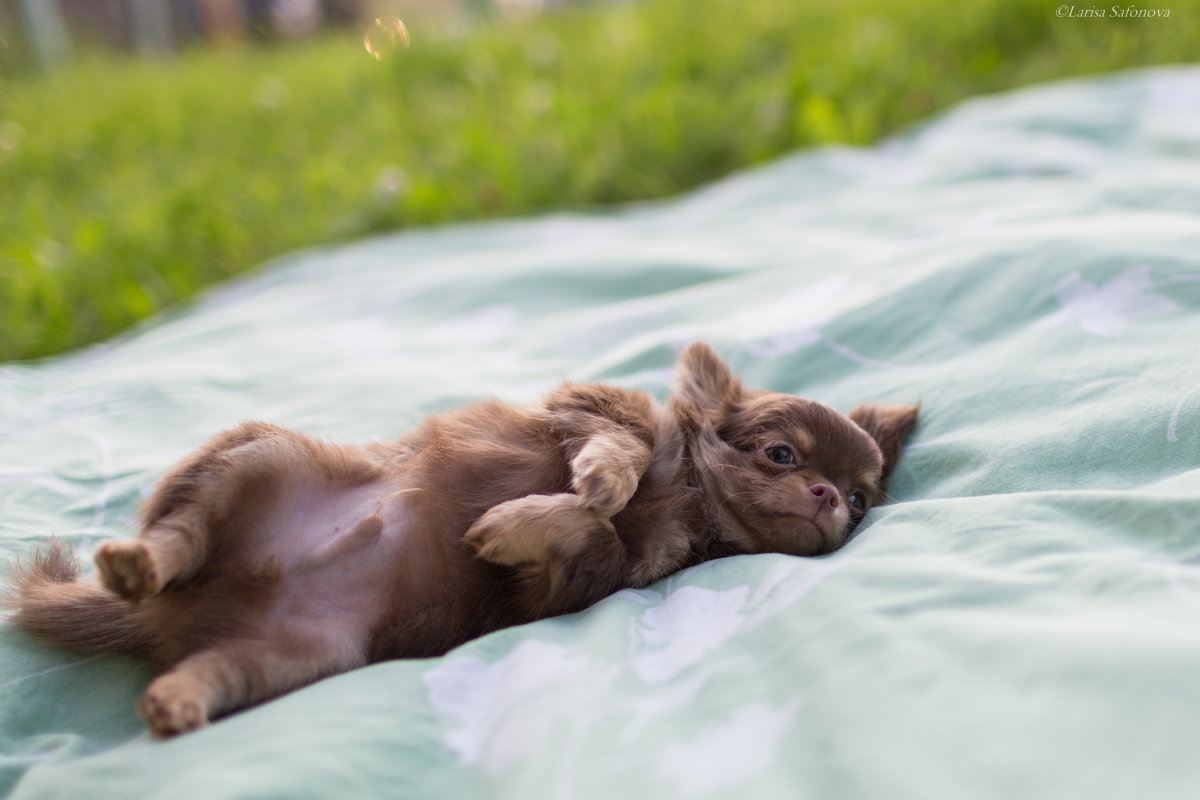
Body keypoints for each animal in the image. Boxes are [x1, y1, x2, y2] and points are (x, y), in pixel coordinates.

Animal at [4, 345, 916, 738]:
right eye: (781, 455)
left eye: (862, 499)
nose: (830, 498)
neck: (688, 501)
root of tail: (161, 613)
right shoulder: (592, 412)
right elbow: (614, 461)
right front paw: (596, 482)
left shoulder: (587, 576)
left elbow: (584, 532)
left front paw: (518, 523)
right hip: (252, 458)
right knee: (178, 535)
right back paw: (134, 561)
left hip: (295, 659)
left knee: (209, 669)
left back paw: (176, 702)